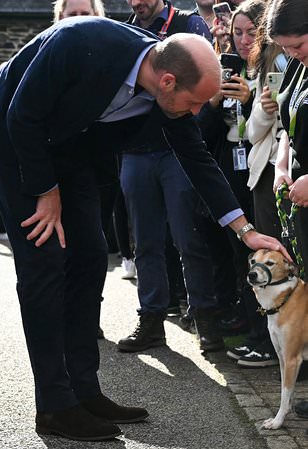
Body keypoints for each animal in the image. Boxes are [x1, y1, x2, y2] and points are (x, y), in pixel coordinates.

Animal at [247, 250, 308, 428]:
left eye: (270, 263)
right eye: (253, 261)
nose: (252, 275)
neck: (286, 299)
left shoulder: (292, 359)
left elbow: (285, 394)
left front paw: (277, 421)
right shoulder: (282, 358)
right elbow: (286, 393)